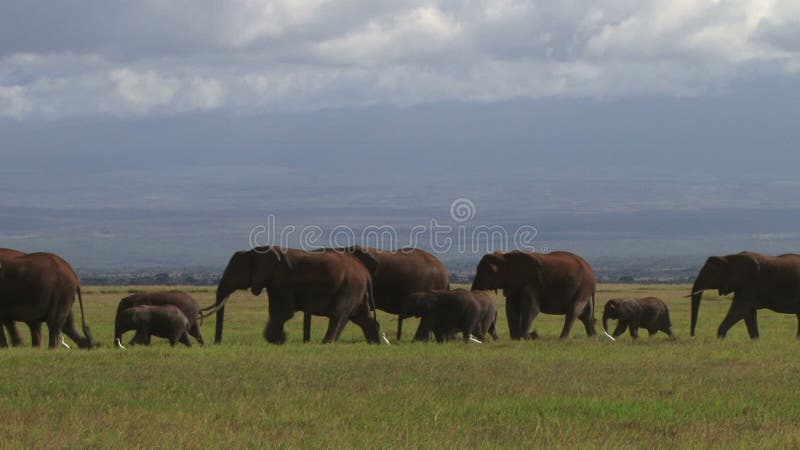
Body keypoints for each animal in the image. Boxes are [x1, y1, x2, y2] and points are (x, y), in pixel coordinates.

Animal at [200, 246, 382, 344]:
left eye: (235, 271)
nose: (215, 343)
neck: (256, 251)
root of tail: (366, 274)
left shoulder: (283, 281)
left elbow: (283, 312)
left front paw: (277, 339)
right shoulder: (274, 283)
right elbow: (277, 311)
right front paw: (279, 340)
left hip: (349, 287)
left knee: (338, 314)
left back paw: (326, 343)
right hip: (355, 291)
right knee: (361, 317)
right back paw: (374, 343)